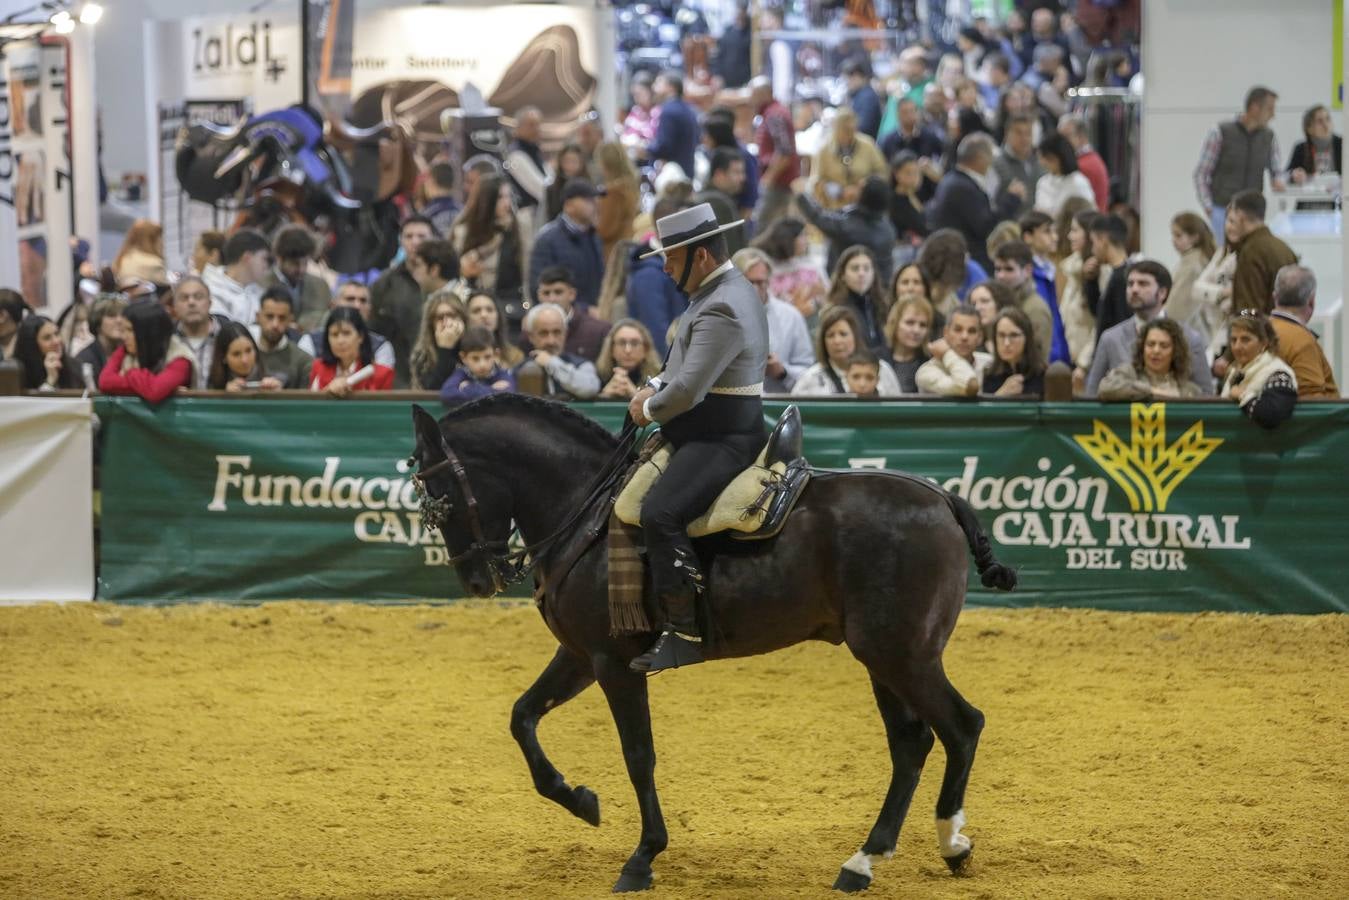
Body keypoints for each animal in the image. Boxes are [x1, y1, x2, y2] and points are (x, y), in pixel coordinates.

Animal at [408, 395, 1017, 894]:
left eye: (440, 497)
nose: (476, 580)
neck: (585, 509)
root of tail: (941, 499)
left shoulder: (614, 663)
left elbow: (638, 755)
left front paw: (643, 857)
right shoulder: (580, 657)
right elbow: (523, 717)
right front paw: (579, 800)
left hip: (902, 654)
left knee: (962, 726)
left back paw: (949, 843)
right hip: (881, 658)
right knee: (911, 744)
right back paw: (864, 861)